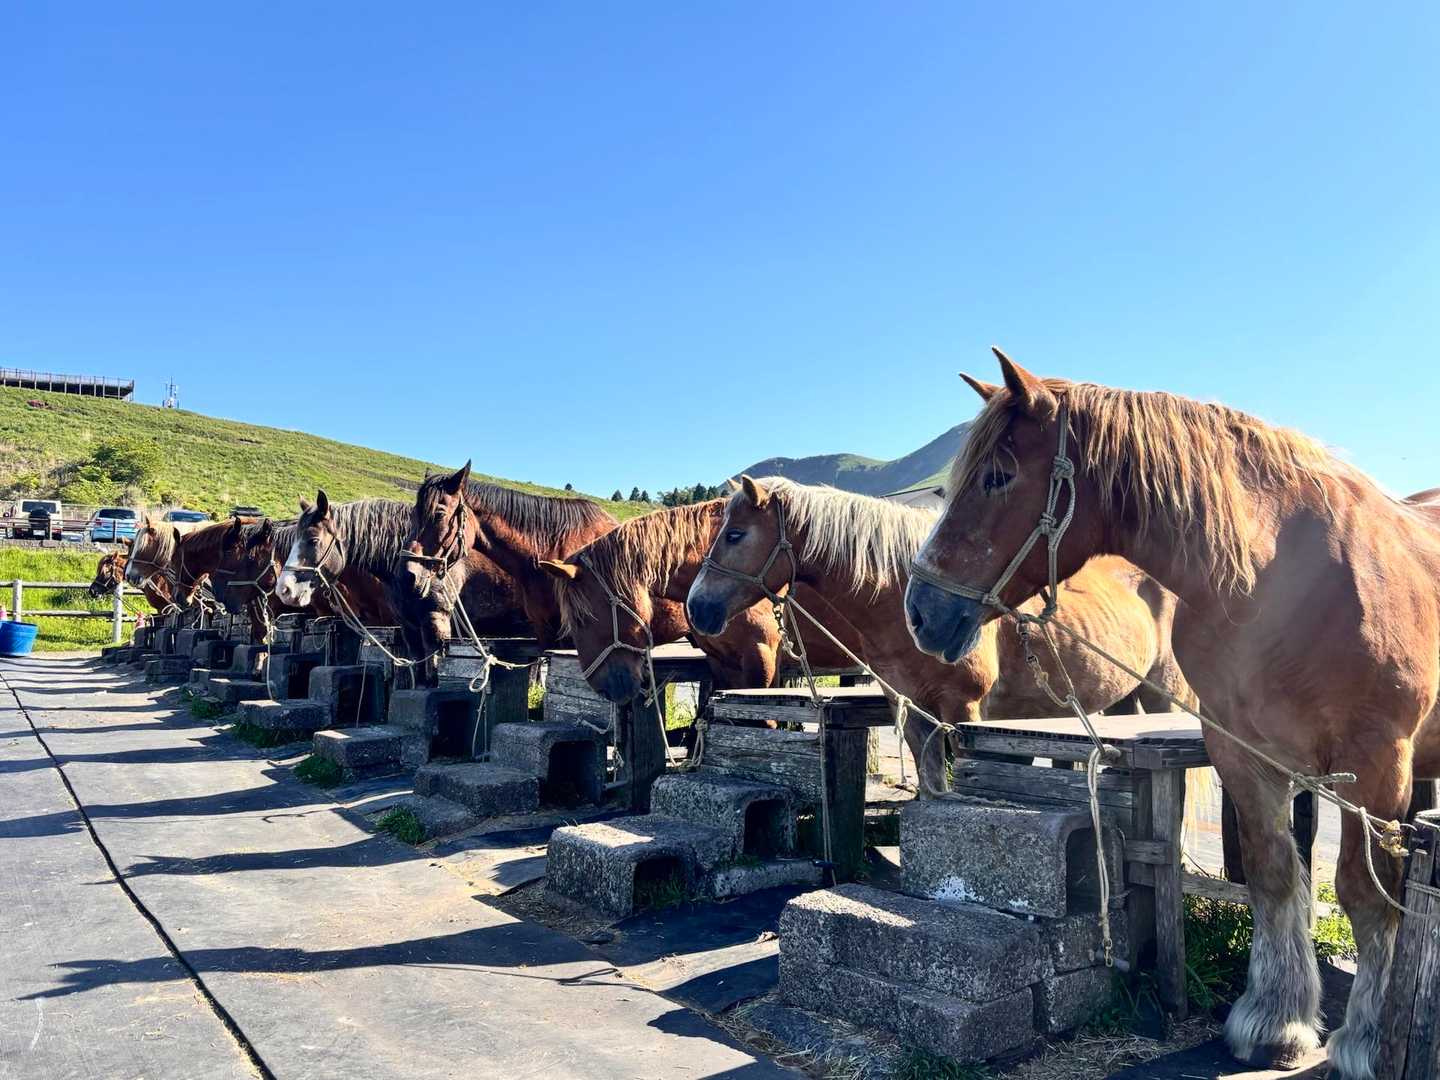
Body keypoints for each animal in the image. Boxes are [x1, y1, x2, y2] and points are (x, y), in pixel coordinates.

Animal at [686, 476, 1192, 793]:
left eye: (735, 534)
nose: (697, 607)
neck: (904, 606)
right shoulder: (913, 711)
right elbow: (931, 789)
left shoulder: (965, 710)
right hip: (1122, 696)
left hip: (1163, 694)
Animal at [905, 351, 1440, 1079]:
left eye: (998, 476)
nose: (920, 611)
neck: (1281, 583)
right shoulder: (1242, 752)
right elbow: (1275, 875)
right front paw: (1275, 1019)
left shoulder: (1377, 763)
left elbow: (1366, 892)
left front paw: (1364, 1040)